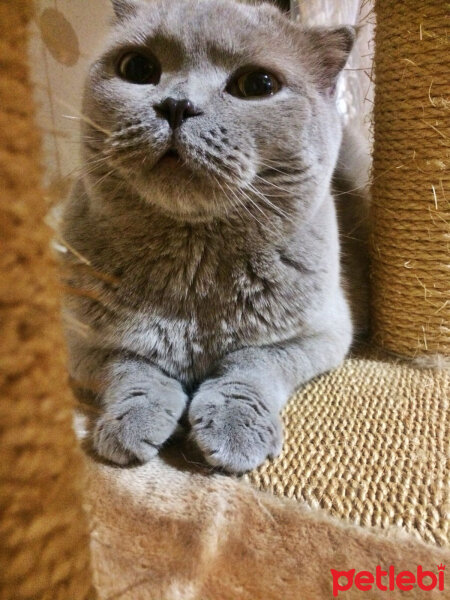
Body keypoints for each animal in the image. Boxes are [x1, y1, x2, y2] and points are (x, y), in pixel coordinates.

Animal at [60, 0, 370, 474]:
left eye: (258, 84)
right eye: (138, 67)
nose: (176, 105)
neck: (193, 264)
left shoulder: (322, 334)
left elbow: (252, 363)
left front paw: (234, 430)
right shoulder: (83, 339)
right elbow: (131, 366)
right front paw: (132, 425)